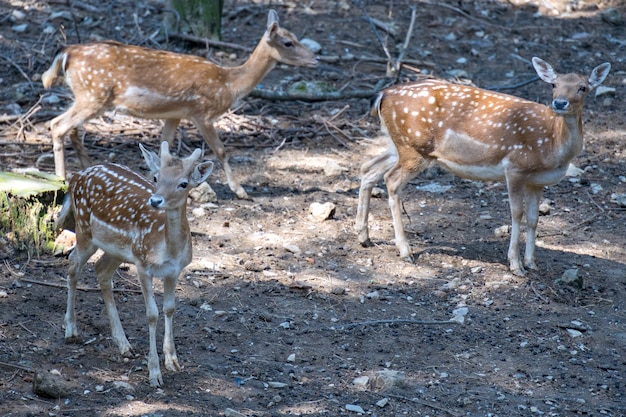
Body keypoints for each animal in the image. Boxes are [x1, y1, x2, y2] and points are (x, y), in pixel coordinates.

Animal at [42, 8, 316, 198]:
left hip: (86, 96)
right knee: (57, 124)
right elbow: (221, 150)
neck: (229, 85)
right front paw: (240, 191)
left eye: (295, 36)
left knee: (72, 128)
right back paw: (60, 179)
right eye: (288, 42)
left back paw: (89, 168)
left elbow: (167, 147)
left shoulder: (174, 114)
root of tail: (66, 53)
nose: (315, 59)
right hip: (94, 94)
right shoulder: (202, 112)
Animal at [58, 141, 214, 386]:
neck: (168, 249)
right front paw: (155, 373)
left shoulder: (174, 270)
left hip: (117, 249)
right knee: (73, 264)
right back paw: (71, 331)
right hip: (85, 229)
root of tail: (76, 177)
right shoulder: (142, 264)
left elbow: (170, 308)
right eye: (156, 177)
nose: (156, 200)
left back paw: (123, 344)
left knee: (101, 270)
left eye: (183, 183)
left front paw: (173, 361)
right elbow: (152, 314)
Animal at [356, 56, 608, 276]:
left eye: (583, 87)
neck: (553, 144)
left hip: (397, 144)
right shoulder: (515, 166)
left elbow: (534, 219)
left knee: (368, 168)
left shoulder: (537, 181)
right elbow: (516, 213)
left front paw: (532, 263)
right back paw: (405, 251)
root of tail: (383, 94)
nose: (559, 102)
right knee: (391, 180)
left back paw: (363, 237)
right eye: (554, 84)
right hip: (415, 147)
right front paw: (516, 265)